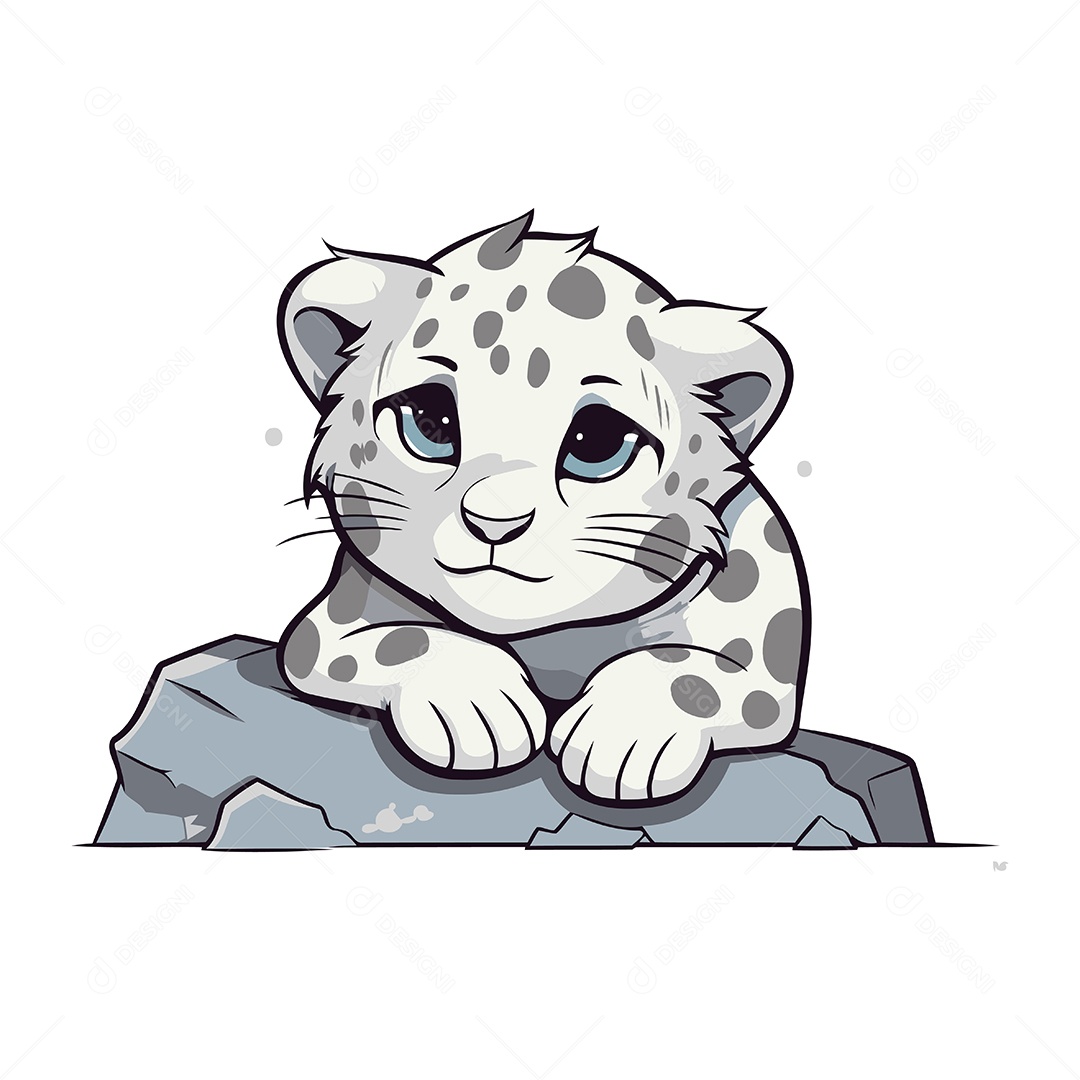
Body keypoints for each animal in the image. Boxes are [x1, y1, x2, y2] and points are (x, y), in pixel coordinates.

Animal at [276, 211, 809, 804]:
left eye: (597, 441)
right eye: (430, 420)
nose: (495, 523)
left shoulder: (764, 667)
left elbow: (687, 672)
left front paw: (622, 735)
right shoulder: (329, 625)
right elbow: (404, 636)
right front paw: (479, 707)